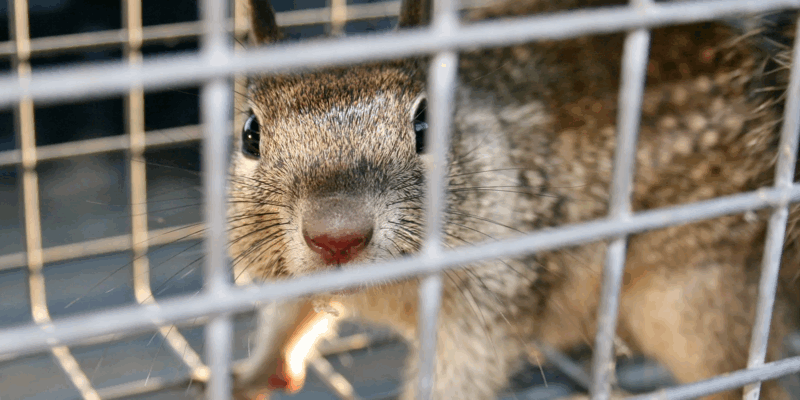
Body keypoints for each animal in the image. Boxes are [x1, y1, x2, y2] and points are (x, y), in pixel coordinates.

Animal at [225, 0, 800, 400]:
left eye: (426, 125)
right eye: (250, 134)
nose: (337, 235)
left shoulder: (492, 302)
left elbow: (459, 377)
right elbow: (285, 316)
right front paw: (252, 373)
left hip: (699, 302)